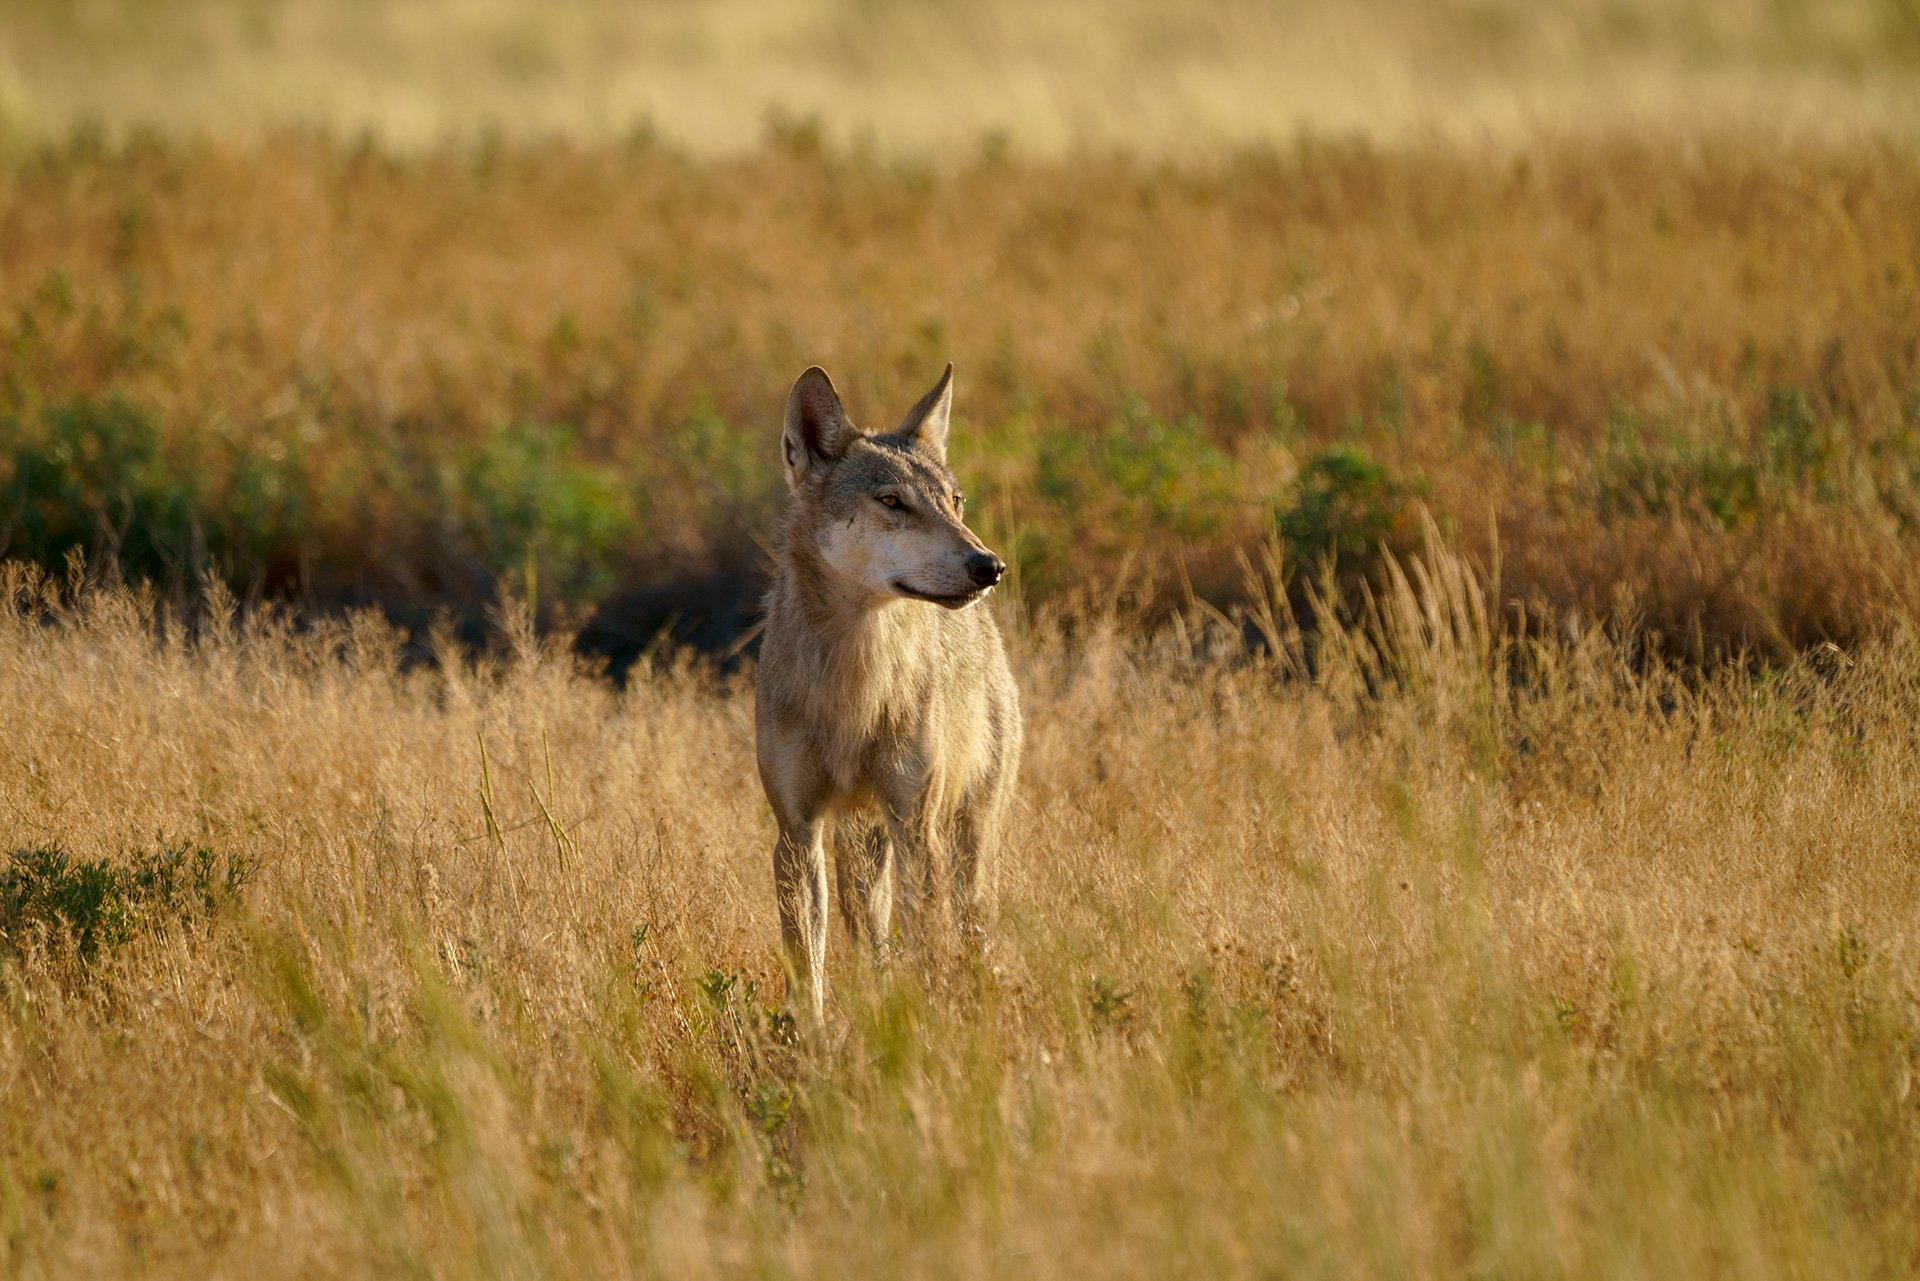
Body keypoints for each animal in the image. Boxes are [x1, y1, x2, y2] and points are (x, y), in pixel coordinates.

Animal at [748, 361, 1021, 1021]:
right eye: (893, 502)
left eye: (954, 502)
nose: (989, 566)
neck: (854, 689)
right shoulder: (796, 832)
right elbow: (808, 971)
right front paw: (813, 1041)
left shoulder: (915, 826)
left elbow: (928, 950)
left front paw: (926, 1025)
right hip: (859, 852)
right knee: (872, 944)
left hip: (964, 841)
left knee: (968, 931)